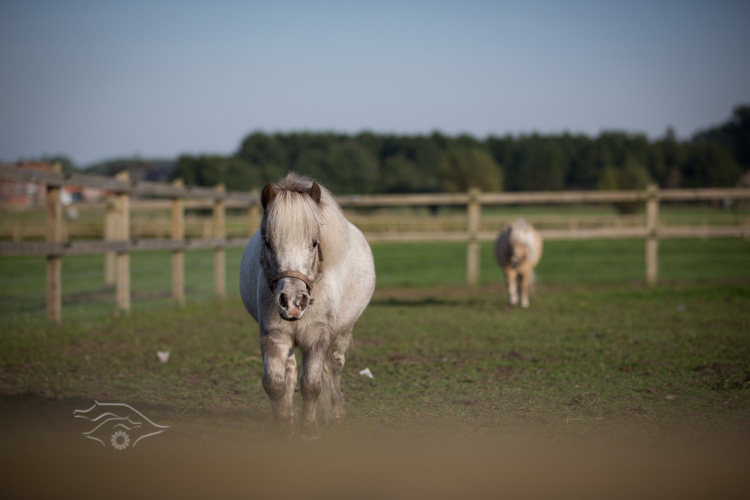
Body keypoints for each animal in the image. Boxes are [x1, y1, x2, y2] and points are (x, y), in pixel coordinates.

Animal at [239, 173, 376, 440]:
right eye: (267, 242)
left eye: (314, 243)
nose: (292, 302)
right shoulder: (274, 337)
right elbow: (275, 384)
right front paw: (284, 426)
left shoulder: (317, 337)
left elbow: (312, 385)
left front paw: (309, 430)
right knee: (291, 372)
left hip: (343, 331)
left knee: (335, 365)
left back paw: (337, 411)